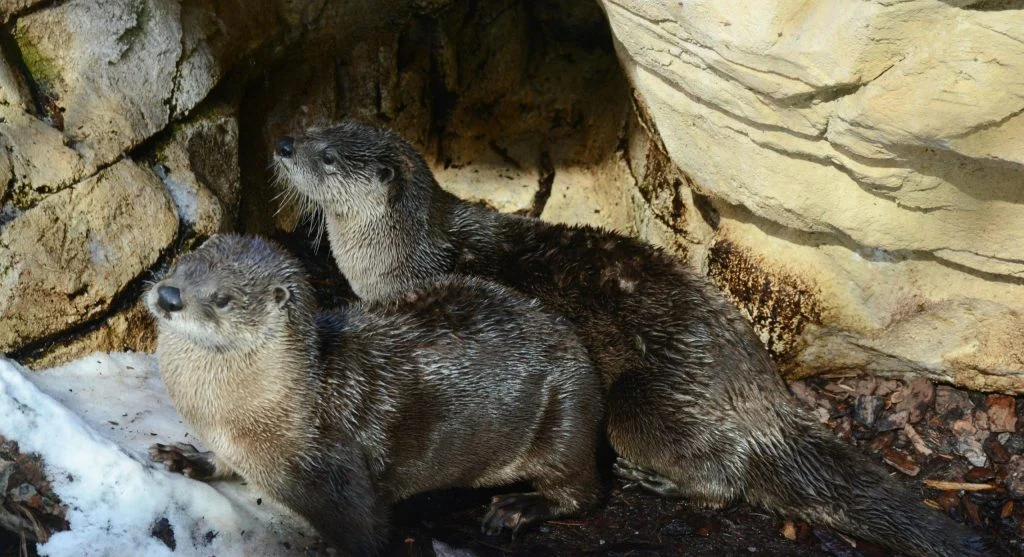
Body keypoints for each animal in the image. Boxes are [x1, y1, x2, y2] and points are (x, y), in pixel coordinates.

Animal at [145, 234, 603, 556]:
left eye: (222, 298)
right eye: (180, 265)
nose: (168, 296)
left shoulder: (337, 467)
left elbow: (368, 531)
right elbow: (220, 462)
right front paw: (187, 458)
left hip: (567, 415)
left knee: (581, 491)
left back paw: (517, 508)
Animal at [272, 123, 995, 557]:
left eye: (327, 157)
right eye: (314, 127)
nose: (281, 145)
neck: (404, 257)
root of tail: (761, 396)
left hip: (643, 401)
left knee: (726, 478)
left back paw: (649, 480)